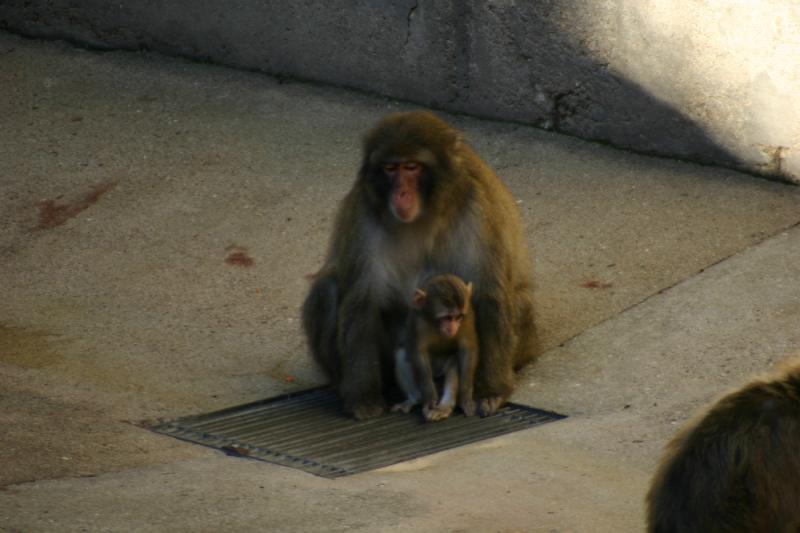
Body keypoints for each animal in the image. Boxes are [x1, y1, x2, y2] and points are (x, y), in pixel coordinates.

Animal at [392, 274, 478, 420]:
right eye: (447, 318)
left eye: (458, 317)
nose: (453, 329)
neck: (435, 325)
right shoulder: (417, 320)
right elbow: (419, 353)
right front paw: (430, 398)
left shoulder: (468, 317)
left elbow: (467, 349)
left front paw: (466, 398)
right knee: (401, 355)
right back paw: (415, 399)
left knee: (453, 361)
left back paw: (444, 407)